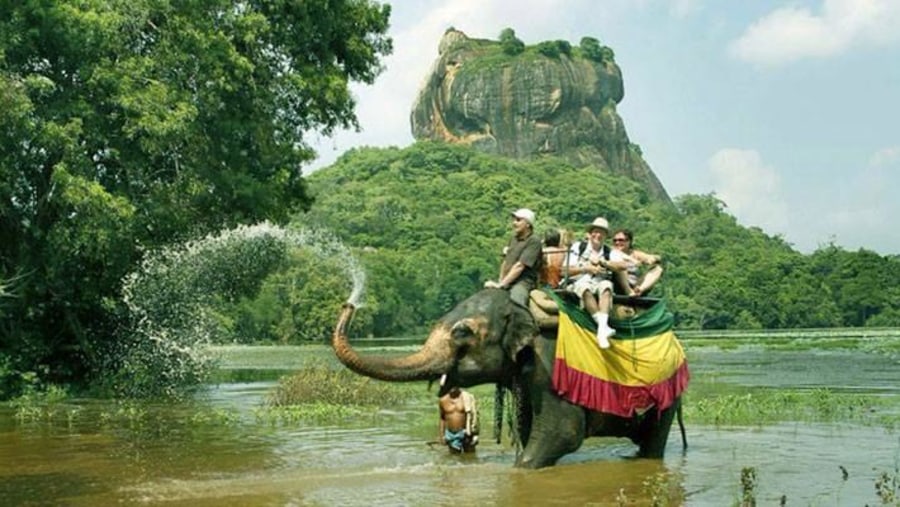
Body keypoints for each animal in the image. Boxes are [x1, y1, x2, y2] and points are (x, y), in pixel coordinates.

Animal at [332, 288, 688, 470]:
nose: (349, 302)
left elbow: (564, 433)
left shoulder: (549, 363)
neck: (522, 307)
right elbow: (532, 429)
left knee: (653, 443)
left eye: (461, 332)